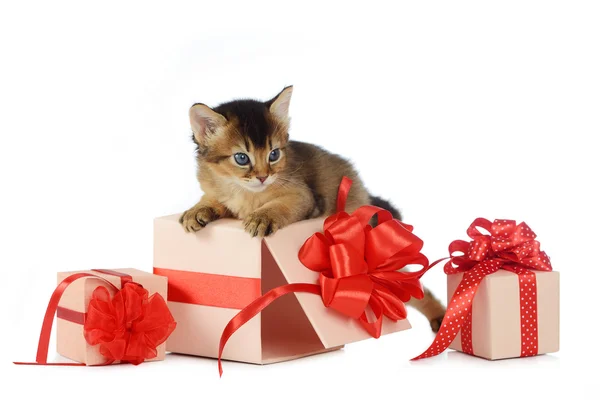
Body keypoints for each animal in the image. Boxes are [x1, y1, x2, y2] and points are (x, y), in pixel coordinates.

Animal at [178, 86, 446, 330]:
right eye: (242, 158)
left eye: (274, 154)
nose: (264, 177)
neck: (244, 192)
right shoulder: (221, 193)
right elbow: (212, 200)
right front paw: (196, 212)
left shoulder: (304, 197)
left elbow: (280, 205)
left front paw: (262, 217)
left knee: (416, 291)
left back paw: (440, 317)